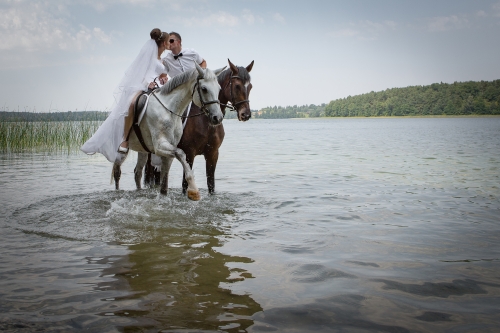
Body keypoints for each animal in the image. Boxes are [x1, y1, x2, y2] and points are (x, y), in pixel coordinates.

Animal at [113, 62, 225, 200]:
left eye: (219, 89)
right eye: (204, 89)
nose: (217, 117)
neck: (169, 111)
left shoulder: (169, 150)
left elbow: (164, 183)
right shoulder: (161, 146)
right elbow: (181, 155)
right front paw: (193, 190)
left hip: (142, 151)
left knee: (137, 172)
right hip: (119, 151)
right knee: (117, 171)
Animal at [144, 58, 254, 193]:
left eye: (250, 86)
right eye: (237, 86)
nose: (246, 114)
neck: (206, 121)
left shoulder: (213, 154)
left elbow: (211, 185)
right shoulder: (189, 154)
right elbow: (185, 185)